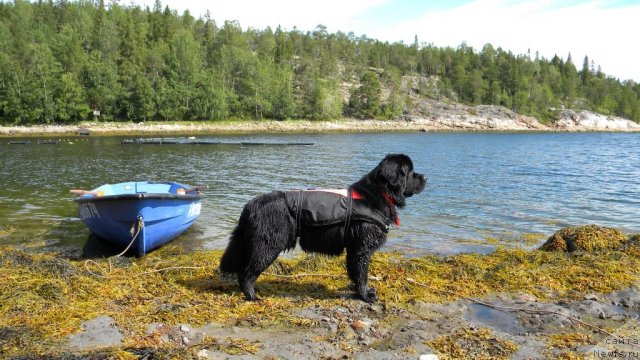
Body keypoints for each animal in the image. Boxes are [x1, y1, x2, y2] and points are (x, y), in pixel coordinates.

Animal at [220, 153, 424, 302]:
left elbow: (354, 272)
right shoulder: (361, 248)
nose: (425, 177)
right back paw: (253, 296)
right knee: (247, 273)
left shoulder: (354, 248)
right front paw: (366, 295)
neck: (376, 194)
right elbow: (361, 273)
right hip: (268, 245)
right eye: (411, 172)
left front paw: (356, 291)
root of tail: (251, 204)